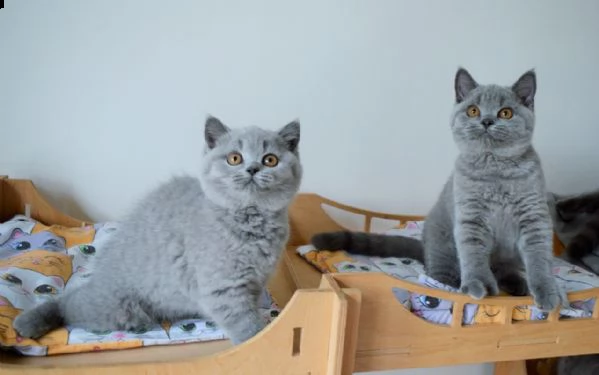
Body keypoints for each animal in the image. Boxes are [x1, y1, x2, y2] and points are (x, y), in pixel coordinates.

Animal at [12, 117, 304, 346]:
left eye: (270, 160)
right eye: (235, 158)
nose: (253, 168)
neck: (249, 220)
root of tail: (100, 274)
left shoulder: (254, 282)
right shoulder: (224, 287)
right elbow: (248, 328)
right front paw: (261, 341)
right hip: (120, 309)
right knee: (70, 302)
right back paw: (32, 320)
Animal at [316, 67, 564, 312]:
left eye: (505, 113)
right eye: (473, 110)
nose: (486, 121)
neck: (495, 170)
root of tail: (424, 245)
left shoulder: (534, 216)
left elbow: (539, 257)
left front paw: (547, 292)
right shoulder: (471, 218)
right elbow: (474, 254)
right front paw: (479, 284)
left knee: (502, 268)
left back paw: (517, 284)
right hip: (442, 245)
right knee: (437, 276)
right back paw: (450, 289)